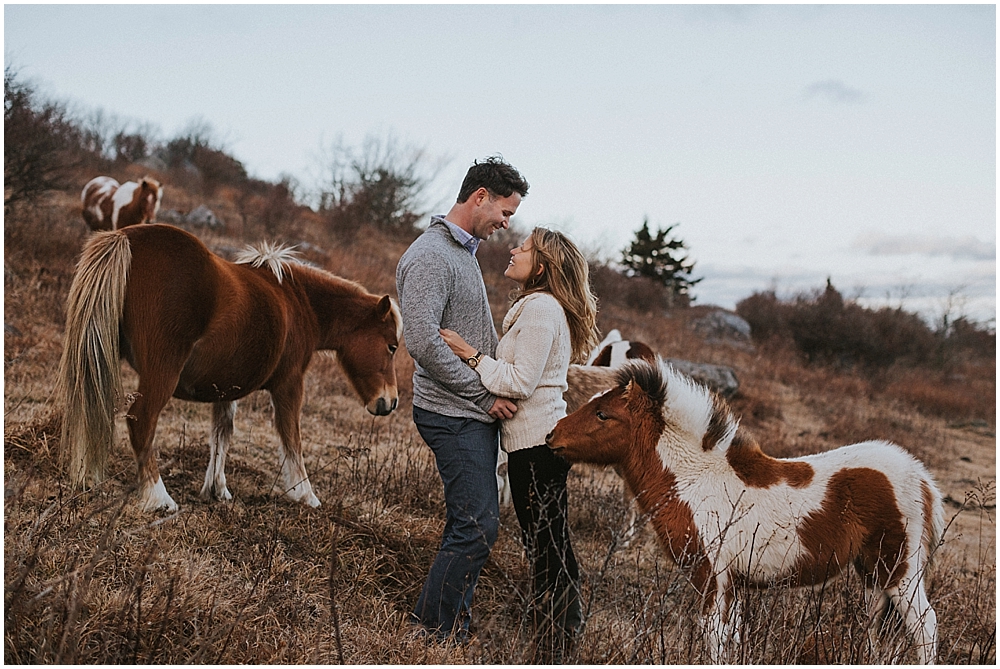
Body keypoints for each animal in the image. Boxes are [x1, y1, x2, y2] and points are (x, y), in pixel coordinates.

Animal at [58, 224, 400, 512]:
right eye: (392, 346)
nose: (390, 402)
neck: (299, 301)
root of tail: (125, 237)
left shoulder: (225, 386)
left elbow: (222, 433)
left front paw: (217, 488)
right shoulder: (289, 384)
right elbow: (292, 438)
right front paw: (306, 494)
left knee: (91, 407)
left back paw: (88, 478)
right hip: (161, 372)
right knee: (141, 421)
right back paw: (159, 498)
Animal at [548, 358, 944, 660]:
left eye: (602, 414)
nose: (552, 437)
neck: (695, 477)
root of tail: (921, 477)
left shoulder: (712, 577)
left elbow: (713, 636)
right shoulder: (735, 584)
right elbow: (732, 638)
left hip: (899, 572)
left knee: (925, 626)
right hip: (872, 576)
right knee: (878, 630)